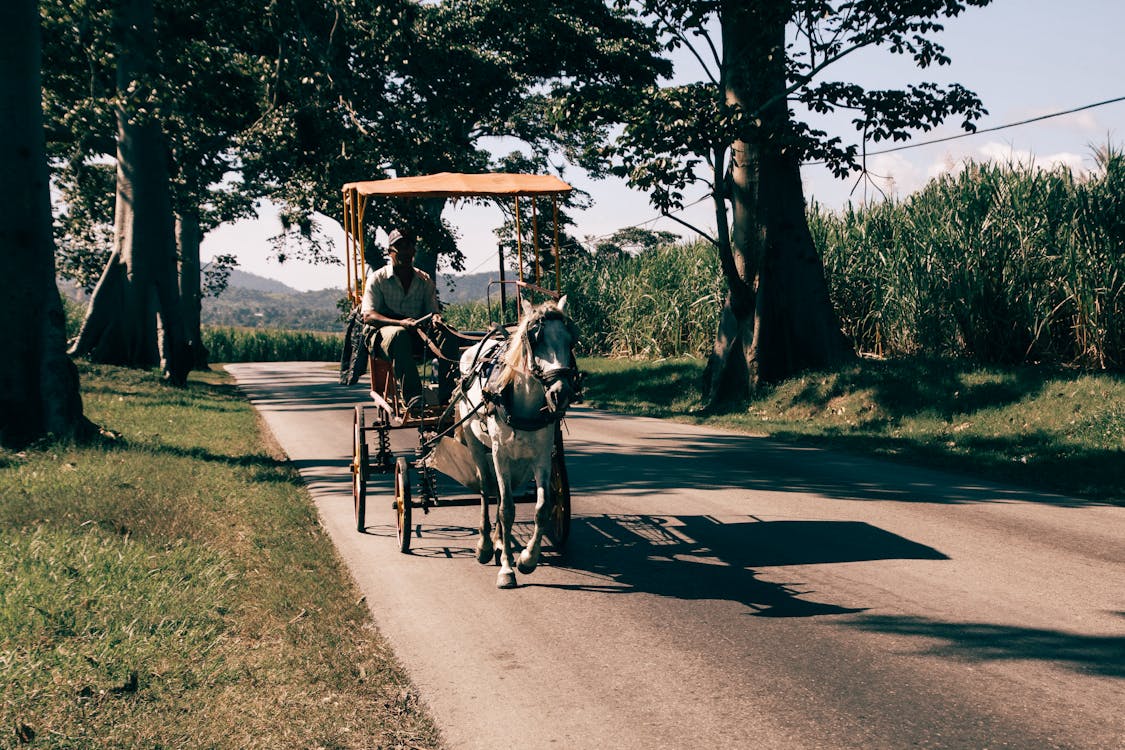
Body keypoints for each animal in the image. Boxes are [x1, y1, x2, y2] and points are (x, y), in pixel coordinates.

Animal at [454, 296, 580, 589]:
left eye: (571, 339)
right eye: (535, 339)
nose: (560, 393)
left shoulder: (542, 456)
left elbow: (541, 508)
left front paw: (526, 560)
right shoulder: (500, 454)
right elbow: (507, 509)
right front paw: (506, 569)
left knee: (501, 494)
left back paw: (500, 542)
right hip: (477, 444)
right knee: (486, 491)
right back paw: (485, 545)